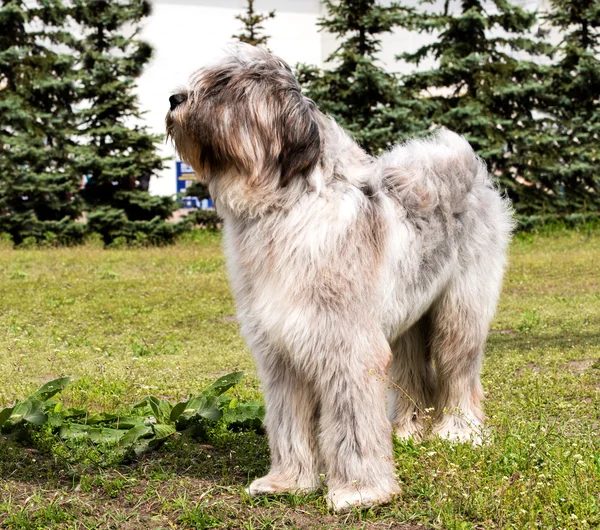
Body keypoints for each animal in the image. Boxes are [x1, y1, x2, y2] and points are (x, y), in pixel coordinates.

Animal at [166, 44, 512, 508]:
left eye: (223, 86)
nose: (173, 99)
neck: (288, 207)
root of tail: (462, 158)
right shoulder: (280, 350)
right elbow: (288, 421)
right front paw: (288, 481)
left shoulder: (347, 344)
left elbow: (352, 423)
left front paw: (360, 491)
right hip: (407, 317)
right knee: (412, 371)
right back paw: (407, 430)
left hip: (460, 310)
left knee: (459, 369)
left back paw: (460, 432)